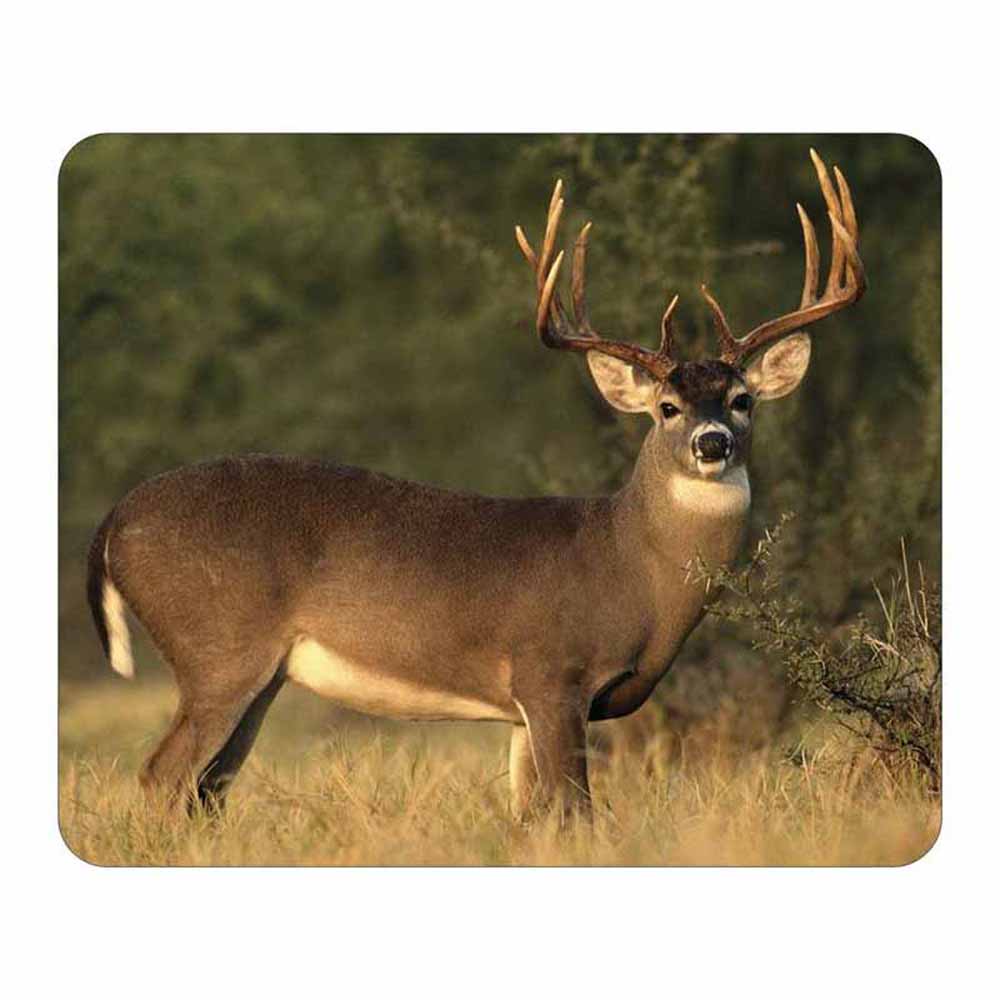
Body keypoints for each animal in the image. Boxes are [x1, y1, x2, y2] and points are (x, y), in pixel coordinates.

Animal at [87, 149, 865, 820]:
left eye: (742, 399)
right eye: (667, 407)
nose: (712, 443)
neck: (630, 568)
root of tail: (113, 523)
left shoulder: (522, 709)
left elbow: (533, 818)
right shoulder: (552, 673)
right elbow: (576, 812)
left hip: (260, 675)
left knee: (207, 789)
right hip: (218, 649)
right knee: (162, 775)